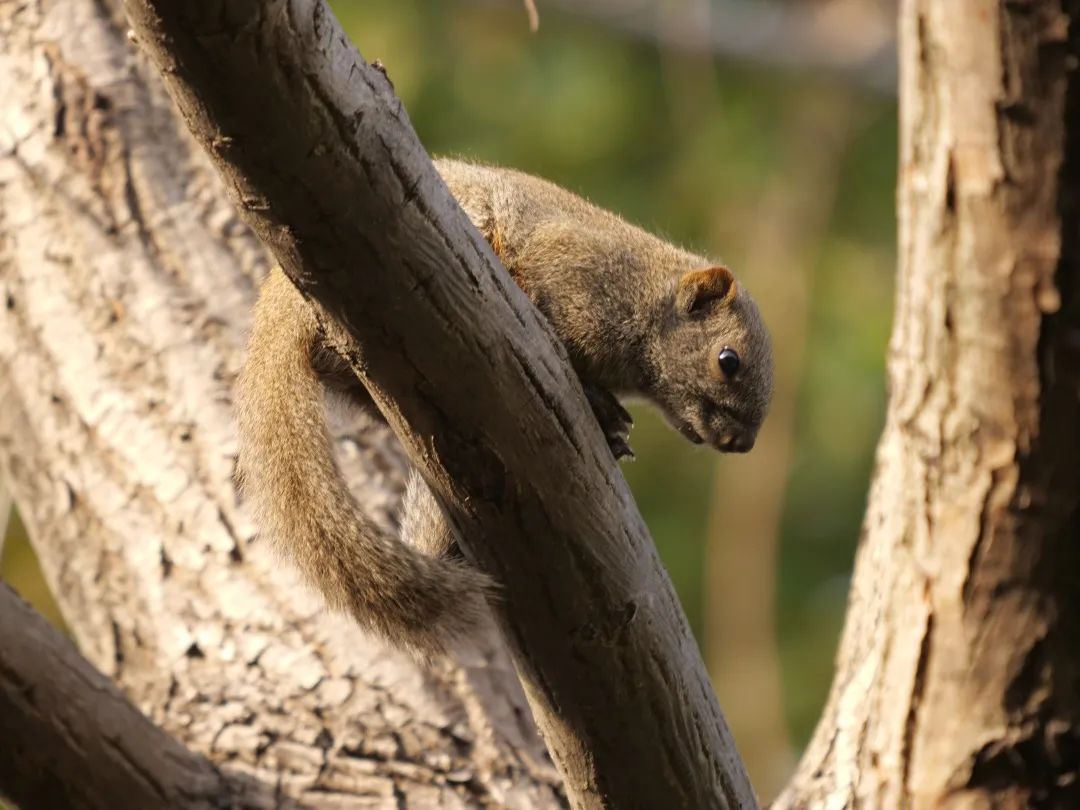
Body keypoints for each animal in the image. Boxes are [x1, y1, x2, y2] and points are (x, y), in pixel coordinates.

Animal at [237, 158, 777, 660]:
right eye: (728, 360)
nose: (740, 443)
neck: (644, 296)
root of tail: (278, 300)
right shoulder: (571, 270)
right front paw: (601, 406)